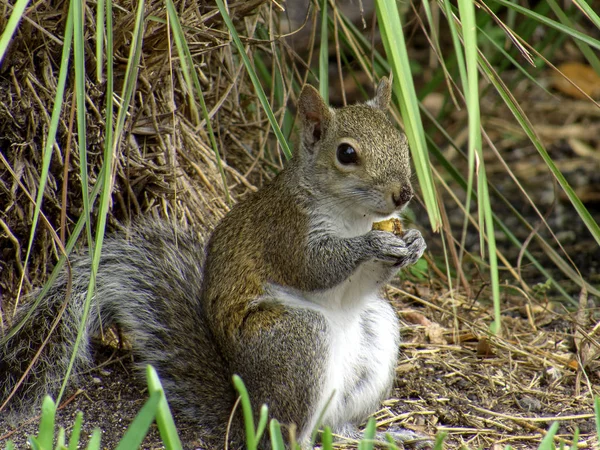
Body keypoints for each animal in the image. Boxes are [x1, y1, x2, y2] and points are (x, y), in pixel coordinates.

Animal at [2, 79, 428, 448]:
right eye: (346, 154)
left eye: (401, 140)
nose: (404, 193)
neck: (353, 215)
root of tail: (247, 412)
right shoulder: (286, 231)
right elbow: (314, 268)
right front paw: (372, 243)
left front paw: (415, 242)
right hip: (295, 339)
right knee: (287, 432)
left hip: (375, 337)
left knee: (333, 424)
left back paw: (373, 436)